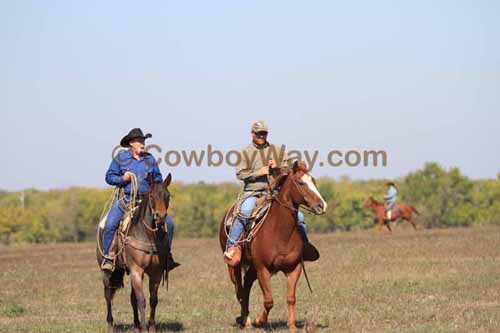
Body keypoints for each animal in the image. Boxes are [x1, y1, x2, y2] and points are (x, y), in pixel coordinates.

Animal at [96, 172, 173, 332]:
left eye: (167, 195)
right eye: (151, 195)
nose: (161, 216)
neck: (148, 235)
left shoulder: (156, 272)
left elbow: (153, 300)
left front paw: (151, 327)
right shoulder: (137, 270)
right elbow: (141, 300)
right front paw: (144, 328)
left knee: (131, 298)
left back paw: (136, 324)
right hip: (107, 272)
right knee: (108, 294)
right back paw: (110, 324)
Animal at [219, 160, 328, 326]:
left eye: (314, 181)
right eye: (301, 182)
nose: (322, 205)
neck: (280, 232)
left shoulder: (294, 267)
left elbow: (291, 298)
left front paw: (292, 326)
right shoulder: (263, 269)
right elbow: (269, 301)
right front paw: (259, 320)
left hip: (252, 268)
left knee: (246, 286)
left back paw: (244, 318)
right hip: (234, 267)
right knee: (240, 291)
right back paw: (247, 321)